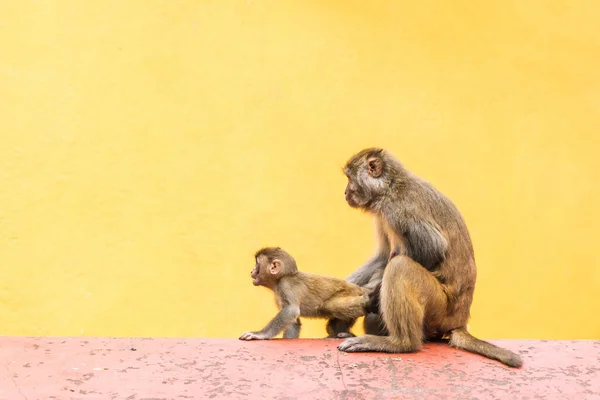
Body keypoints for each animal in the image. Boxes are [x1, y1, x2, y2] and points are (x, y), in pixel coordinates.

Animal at [239, 247, 380, 340]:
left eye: (257, 265)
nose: (252, 271)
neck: (282, 278)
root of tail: (359, 289)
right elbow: (294, 321)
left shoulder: (285, 285)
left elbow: (291, 311)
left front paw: (260, 334)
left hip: (350, 293)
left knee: (330, 305)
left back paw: (370, 302)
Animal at [330, 148, 524, 368]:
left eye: (349, 178)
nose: (345, 192)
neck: (389, 186)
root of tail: (459, 321)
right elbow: (382, 257)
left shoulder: (397, 209)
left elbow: (432, 249)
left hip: (439, 309)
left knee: (400, 266)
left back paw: (400, 343)